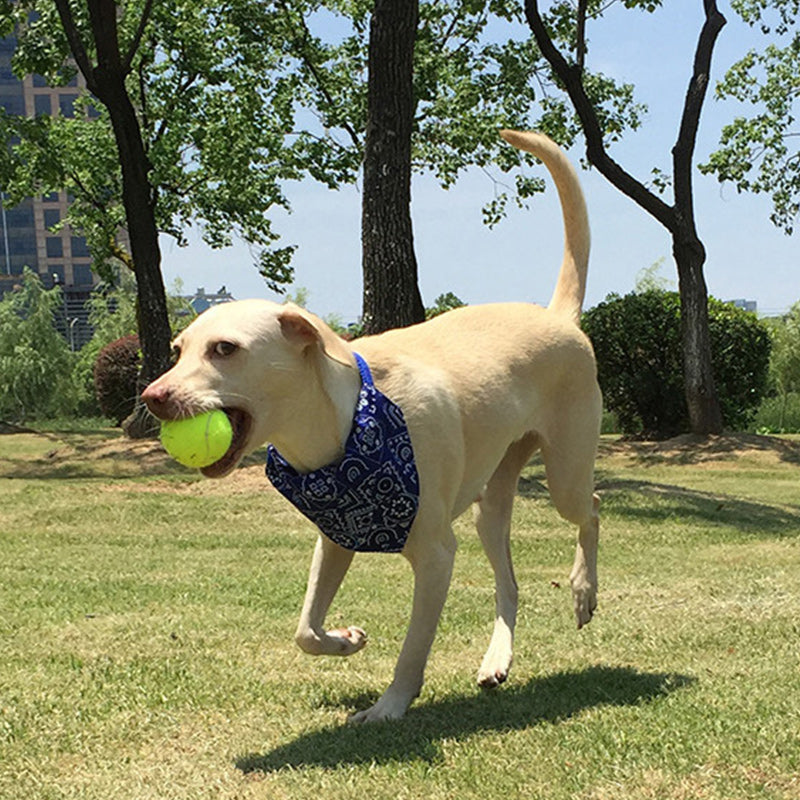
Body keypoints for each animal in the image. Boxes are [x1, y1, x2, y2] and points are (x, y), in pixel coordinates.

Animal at [142, 131, 600, 724]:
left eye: (225, 348)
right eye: (178, 350)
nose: (152, 397)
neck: (344, 429)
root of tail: (558, 317)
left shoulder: (435, 555)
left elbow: (413, 647)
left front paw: (388, 707)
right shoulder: (334, 537)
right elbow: (304, 629)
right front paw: (346, 640)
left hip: (566, 469)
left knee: (591, 509)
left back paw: (584, 592)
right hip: (491, 502)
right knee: (511, 584)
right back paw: (497, 660)